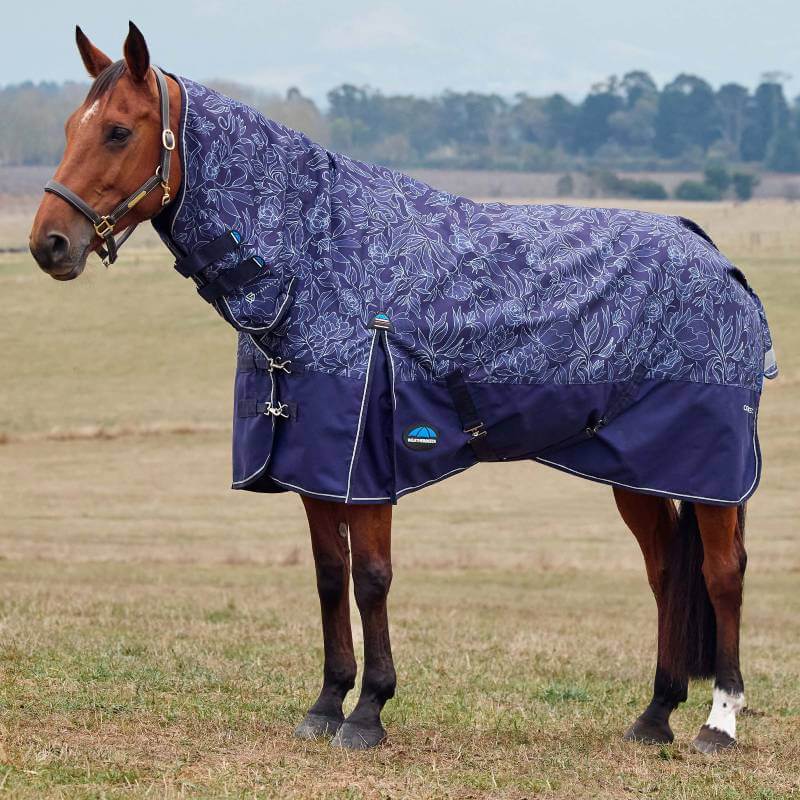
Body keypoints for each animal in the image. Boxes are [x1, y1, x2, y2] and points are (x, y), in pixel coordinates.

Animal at [29, 23, 770, 754]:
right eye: (68, 127)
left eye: (118, 131)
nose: (49, 244)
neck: (314, 259)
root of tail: (718, 259)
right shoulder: (312, 462)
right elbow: (331, 576)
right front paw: (327, 703)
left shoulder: (366, 462)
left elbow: (372, 578)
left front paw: (368, 711)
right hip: (639, 469)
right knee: (667, 572)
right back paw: (654, 715)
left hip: (712, 474)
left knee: (722, 573)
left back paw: (718, 722)